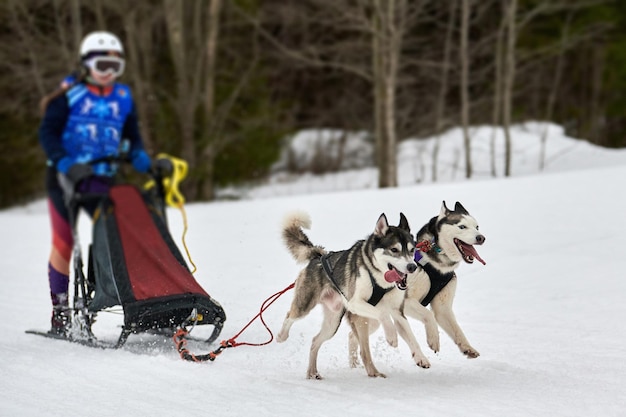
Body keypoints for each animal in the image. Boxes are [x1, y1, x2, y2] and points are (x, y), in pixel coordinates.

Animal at [278, 211, 428, 376]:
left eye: (412, 250)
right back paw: (281, 336)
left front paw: (421, 357)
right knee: (290, 316)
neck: (379, 279)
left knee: (315, 341)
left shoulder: (397, 312)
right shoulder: (355, 303)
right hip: (306, 305)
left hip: (334, 323)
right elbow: (384, 315)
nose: (412, 266)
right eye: (394, 250)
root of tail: (318, 256)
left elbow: (410, 335)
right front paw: (391, 336)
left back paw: (312, 372)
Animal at [348, 202, 486, 376]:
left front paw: (467, 348)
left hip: (373, 321)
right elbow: (429, 315)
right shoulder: (407, 302)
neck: (436, 265)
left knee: (352, 335)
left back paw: (354, 364)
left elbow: (456, 329)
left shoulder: (442, 308)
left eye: (477, 226)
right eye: (462, 226)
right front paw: (433, 339)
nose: (481, 238)